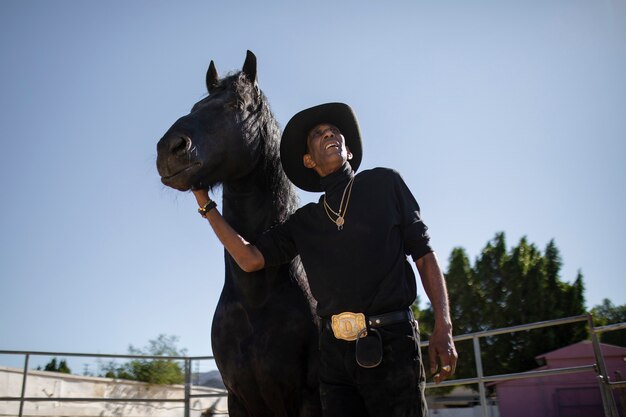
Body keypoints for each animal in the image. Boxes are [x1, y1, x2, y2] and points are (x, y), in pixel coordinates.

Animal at [155, 52, 320, 416]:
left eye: (235, 105)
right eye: (196, 105)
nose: (169, 149)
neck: (256, 298)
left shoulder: (309, 397)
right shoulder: (238, 398)